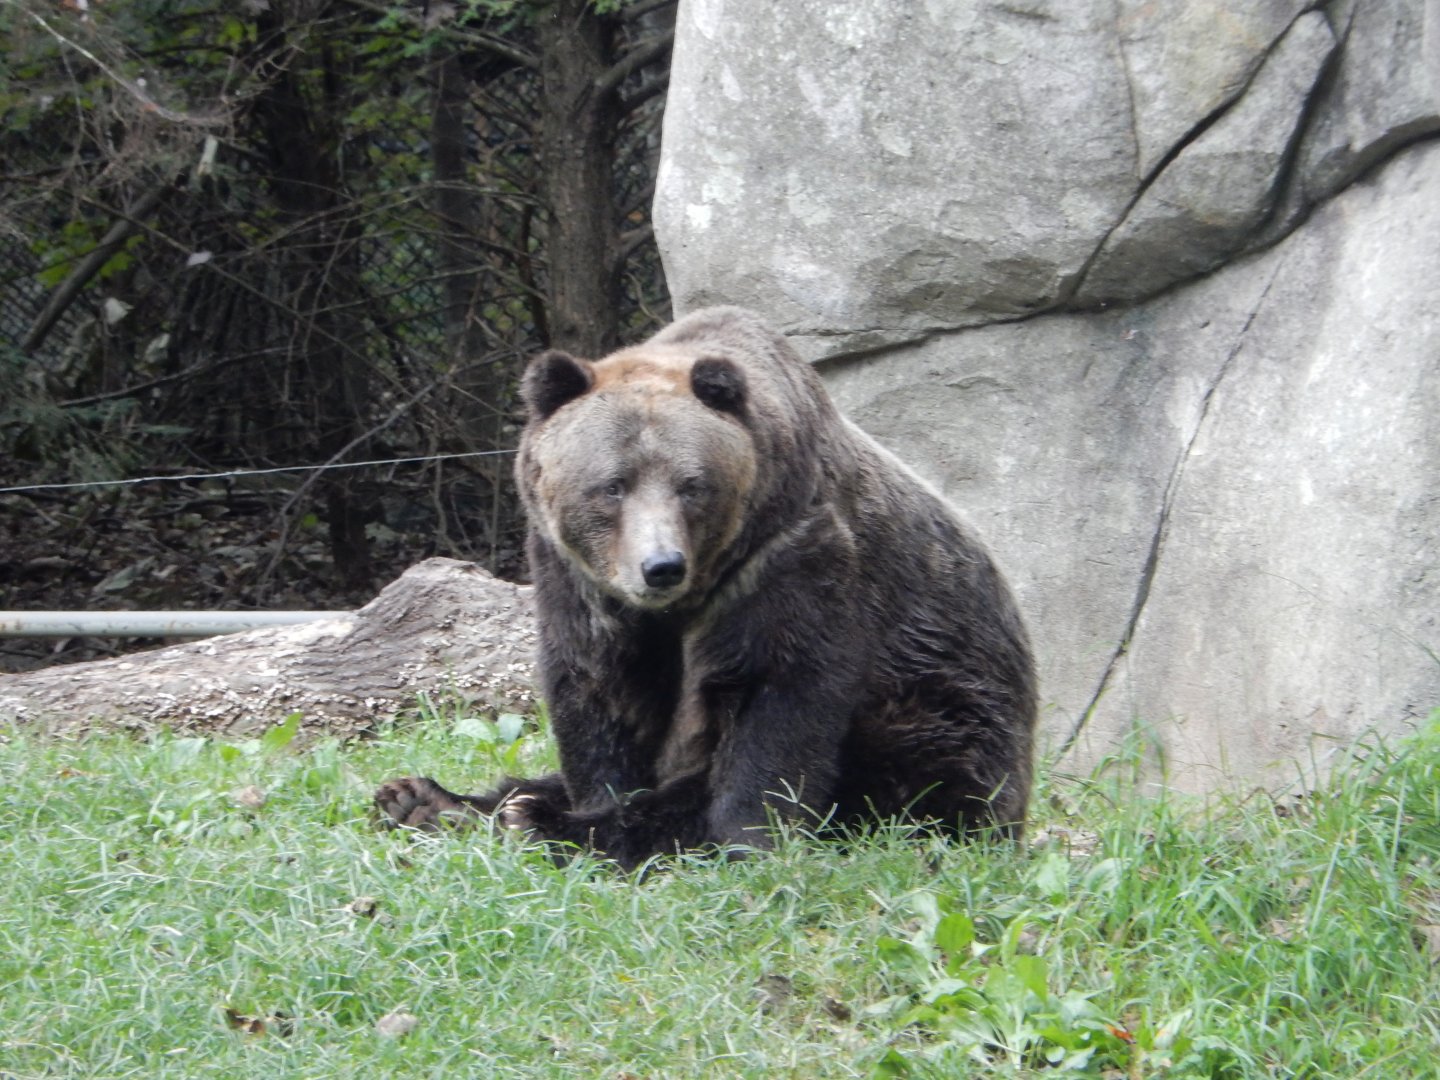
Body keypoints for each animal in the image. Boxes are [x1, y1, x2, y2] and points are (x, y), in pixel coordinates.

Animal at [375, 307, 1036, 869]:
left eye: (691, 485)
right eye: (612, 486)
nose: (661, 566)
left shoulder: (790, 558)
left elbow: (776, 692)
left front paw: (747, 836)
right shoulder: (575, 574)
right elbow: (598, 685)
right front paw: (587, 798)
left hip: (942, 710)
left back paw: (543, 821)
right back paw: (430, 799)